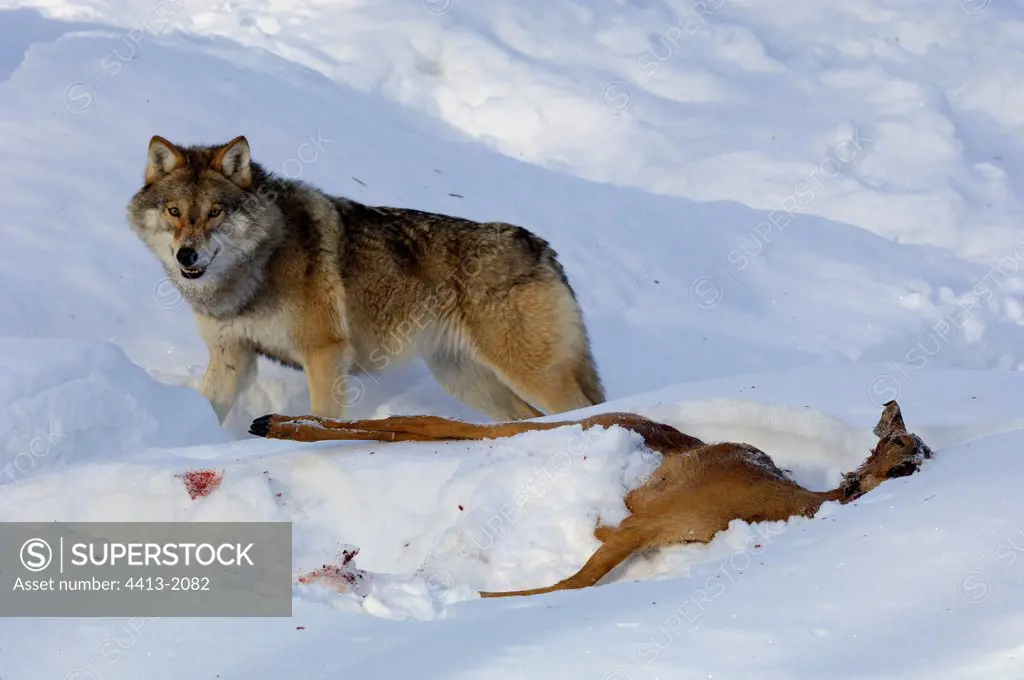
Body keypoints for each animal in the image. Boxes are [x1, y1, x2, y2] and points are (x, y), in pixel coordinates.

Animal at [128, 133, 606, 421]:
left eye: (215, 212)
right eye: (174, 211)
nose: (187, 254)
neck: (253, 267)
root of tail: (542, 246)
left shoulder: (324, 354)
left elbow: (322, 416)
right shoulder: (233, 356)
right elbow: (209, 406)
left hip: (530, 375)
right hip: (466, 379)